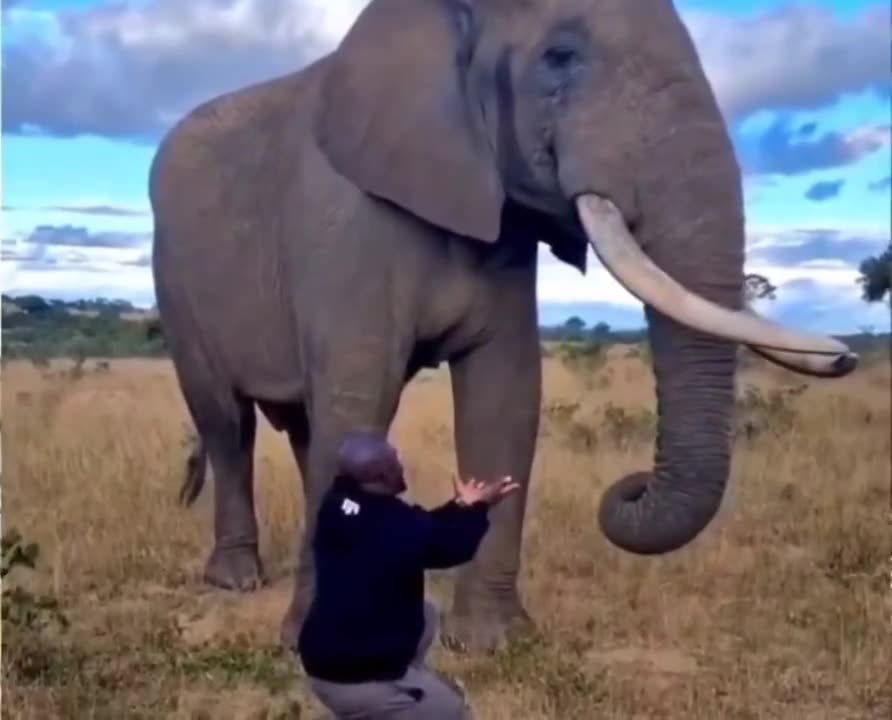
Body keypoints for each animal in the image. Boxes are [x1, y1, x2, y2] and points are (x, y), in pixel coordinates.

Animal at [148, 0, 857, 655]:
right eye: (560, 57)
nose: (845, 357)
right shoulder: (343, 220)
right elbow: (359, 395)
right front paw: (313, 644)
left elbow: (505, 395)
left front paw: (489, 643)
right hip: (177, 282)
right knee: (227, 423)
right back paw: (234, 580)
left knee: (300, 429)